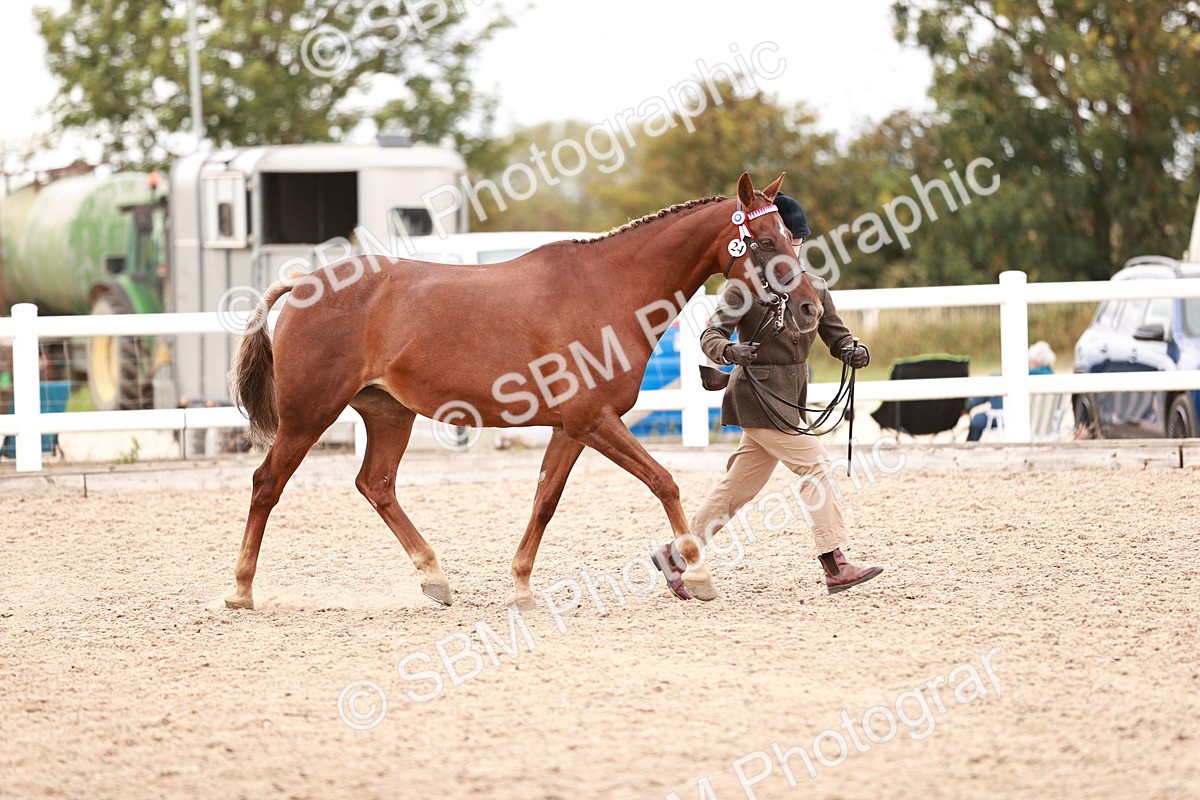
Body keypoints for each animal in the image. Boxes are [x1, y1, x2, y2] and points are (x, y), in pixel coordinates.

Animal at [223, 172, 823, 611]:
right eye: (764, 240)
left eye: (790, 239)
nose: (810, 308)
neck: (610, 290)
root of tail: (303, 284)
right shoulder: (594, 420)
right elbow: (664, 482)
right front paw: (697, 577)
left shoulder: (572, 428)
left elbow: (544, 501)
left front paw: (521, 587)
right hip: (309, 414)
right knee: (267, 483)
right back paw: (242, 590)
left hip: (389, 414)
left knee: (377, 485)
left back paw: (435, 579)